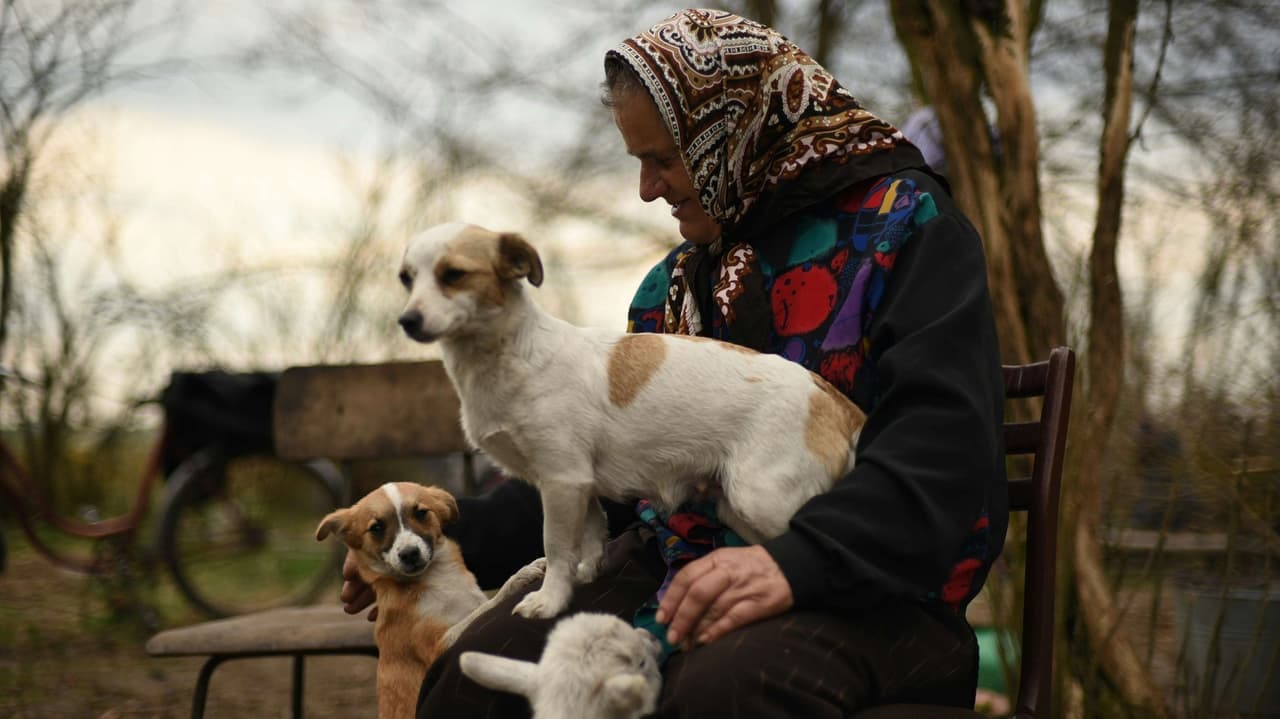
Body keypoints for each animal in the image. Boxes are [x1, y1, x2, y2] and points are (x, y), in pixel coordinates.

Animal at [318, 478, 545, 716]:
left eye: (421, 513)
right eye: (376, 527)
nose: (409, 554)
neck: (437, 580)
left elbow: (479, 607)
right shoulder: (438, 645)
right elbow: (484, 608)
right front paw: (519, 578)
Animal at [394, 222, 865, 616]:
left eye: (453, 274)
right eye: (406, 279)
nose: (406, 320)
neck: (507, 356)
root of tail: (837, 403)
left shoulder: (562, 480)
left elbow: (556, 547)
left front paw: (549, 600)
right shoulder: (579, 484)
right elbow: (590, 534)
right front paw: (586, 574)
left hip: (760, 500)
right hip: (736, 509)